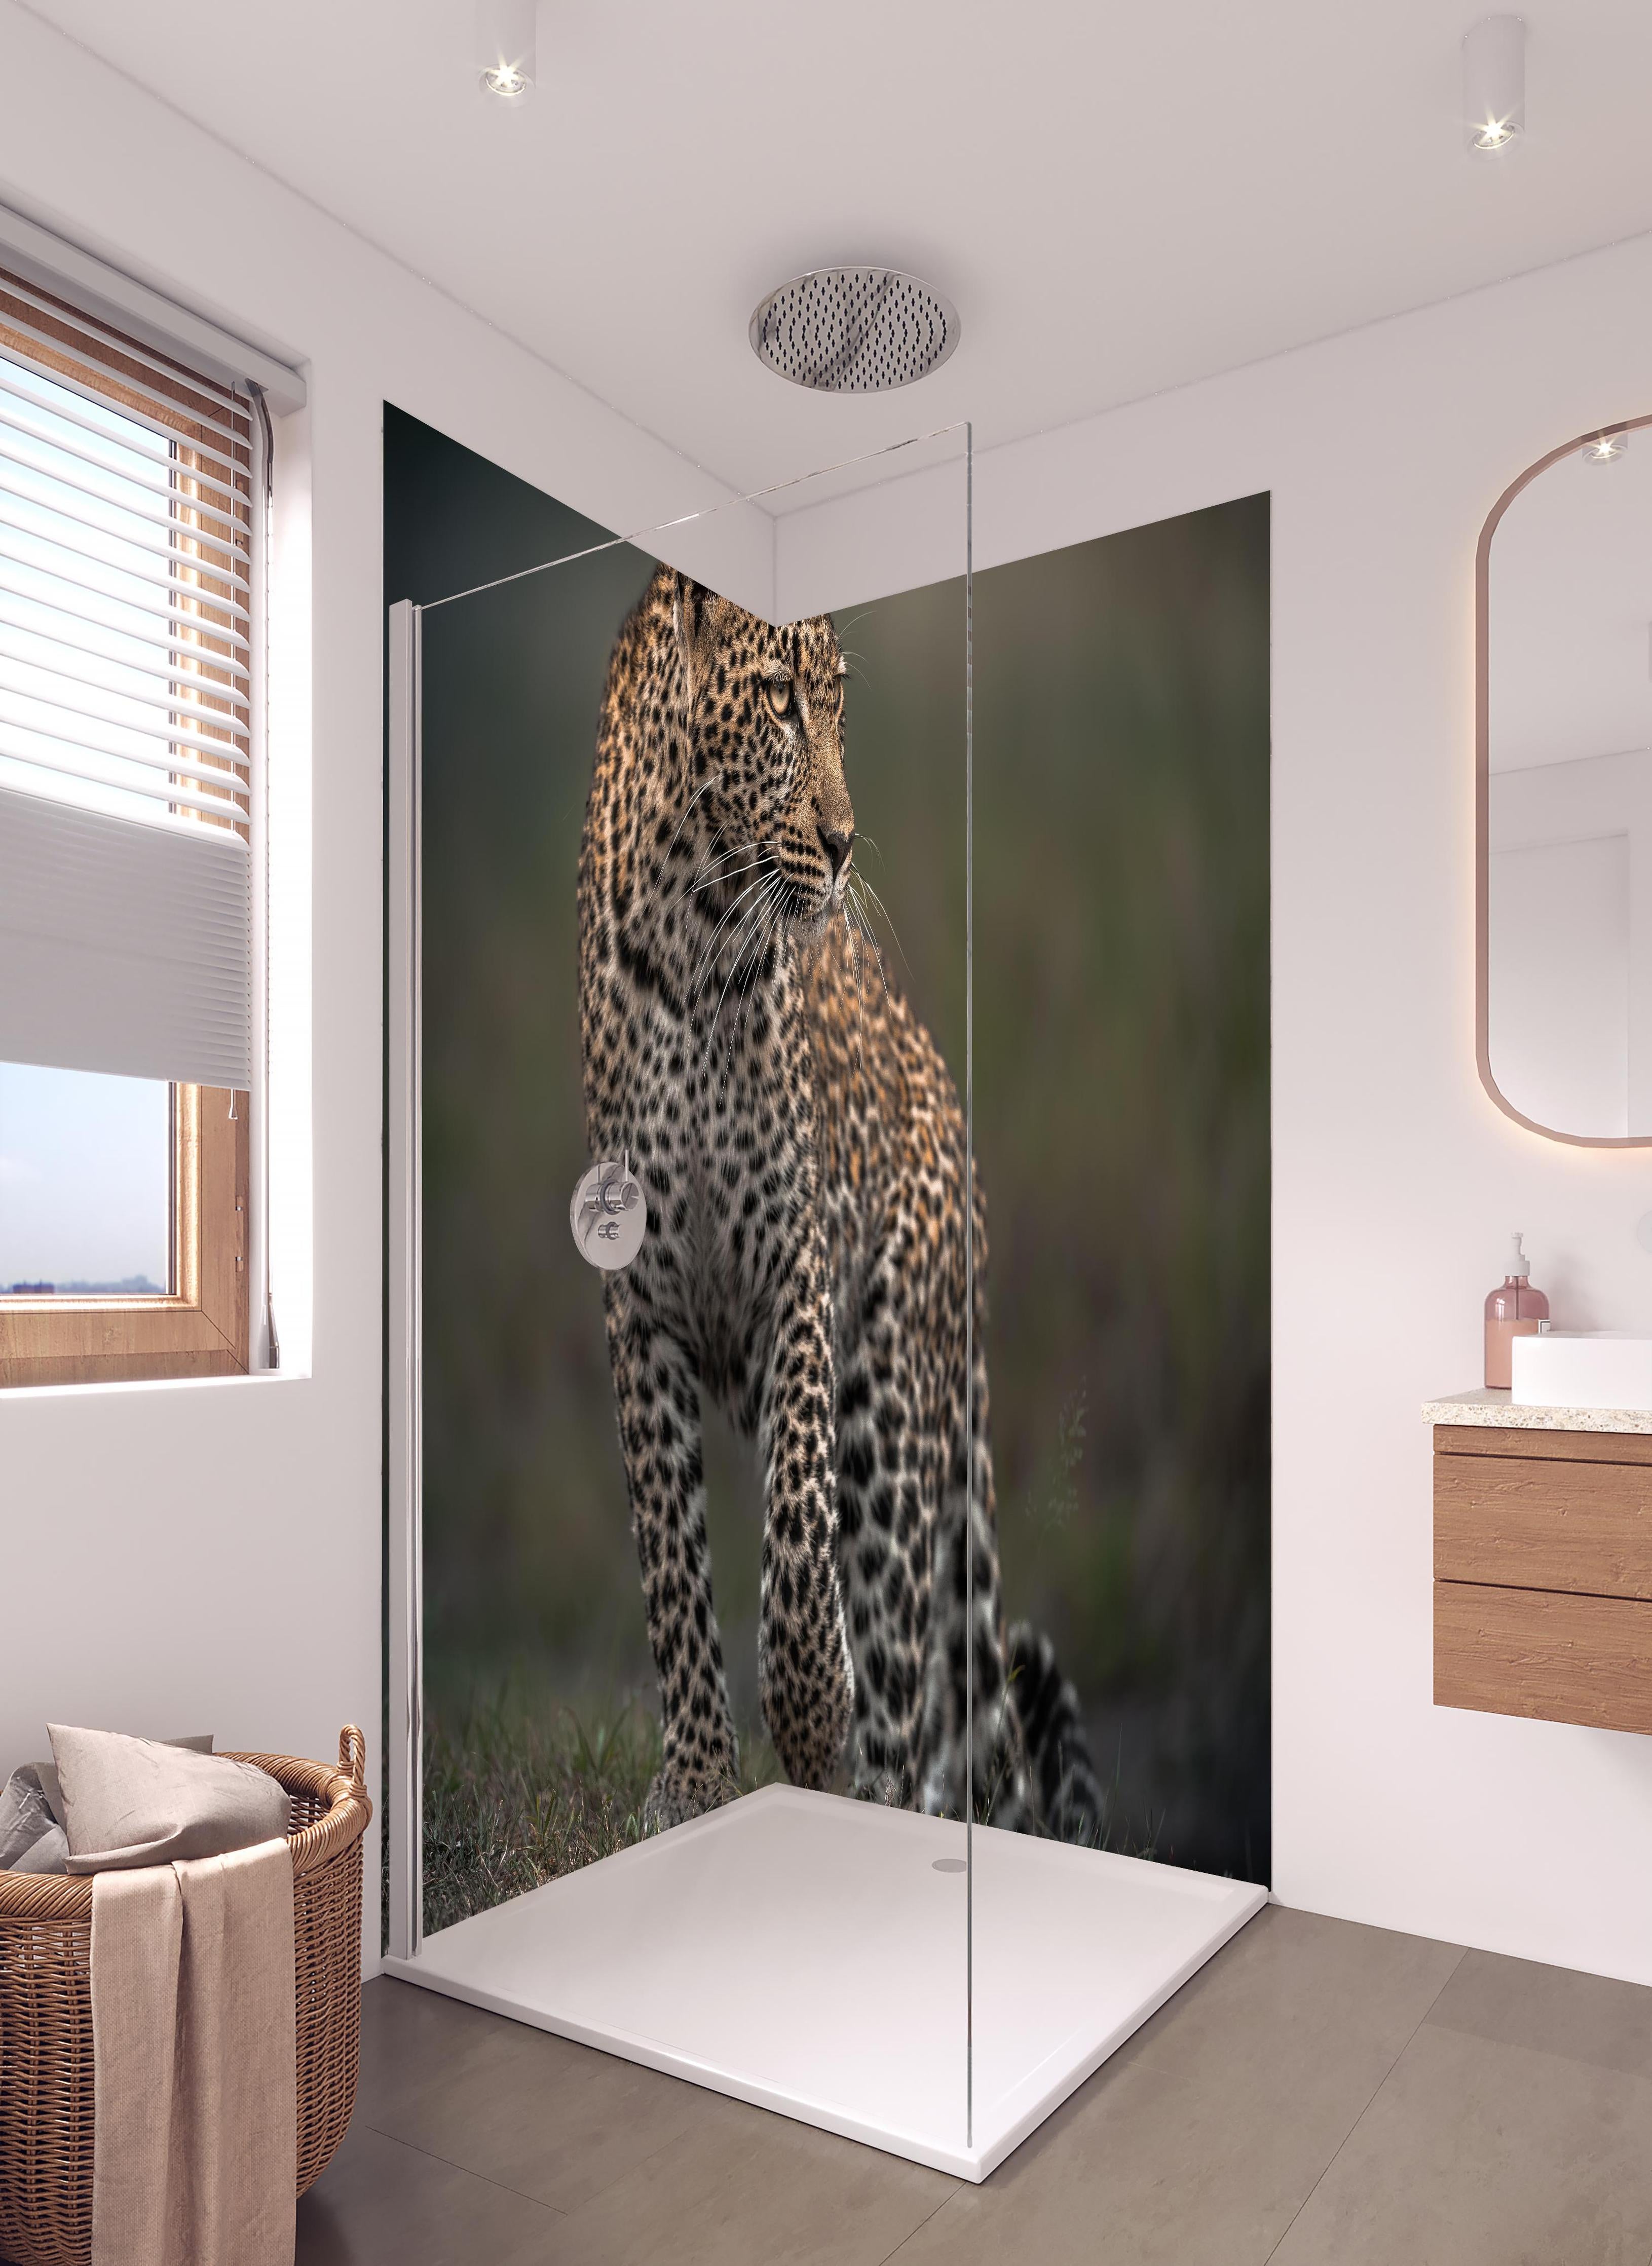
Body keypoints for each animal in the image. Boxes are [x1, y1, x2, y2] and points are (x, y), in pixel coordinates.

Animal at [576, 562, 1102, 1843]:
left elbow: (800, 1547)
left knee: (909, 1675)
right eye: (777, 701)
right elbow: (671, 1563)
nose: (843, 837)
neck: (694, 935)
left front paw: (807, 1721)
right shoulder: (637, 1310)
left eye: (837, 703)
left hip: (896, 1400)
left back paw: (875, 1799)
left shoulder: (798, 1279)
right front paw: (697, 1781)